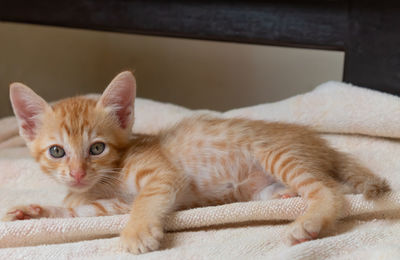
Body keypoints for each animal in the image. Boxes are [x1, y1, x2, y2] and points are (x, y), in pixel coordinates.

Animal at [3, 71, 390, 254]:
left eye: (97, 148)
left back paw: (309, 222)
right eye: (57, 151)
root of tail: (319, 142)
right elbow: (75, 210)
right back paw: (283, 197)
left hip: (277, 153)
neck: (105, 179)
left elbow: (143, 202)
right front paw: (31, 212)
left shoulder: (161, 175)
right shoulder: (100, 203)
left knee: (330, 191)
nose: (77, 172)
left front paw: (137, 232)